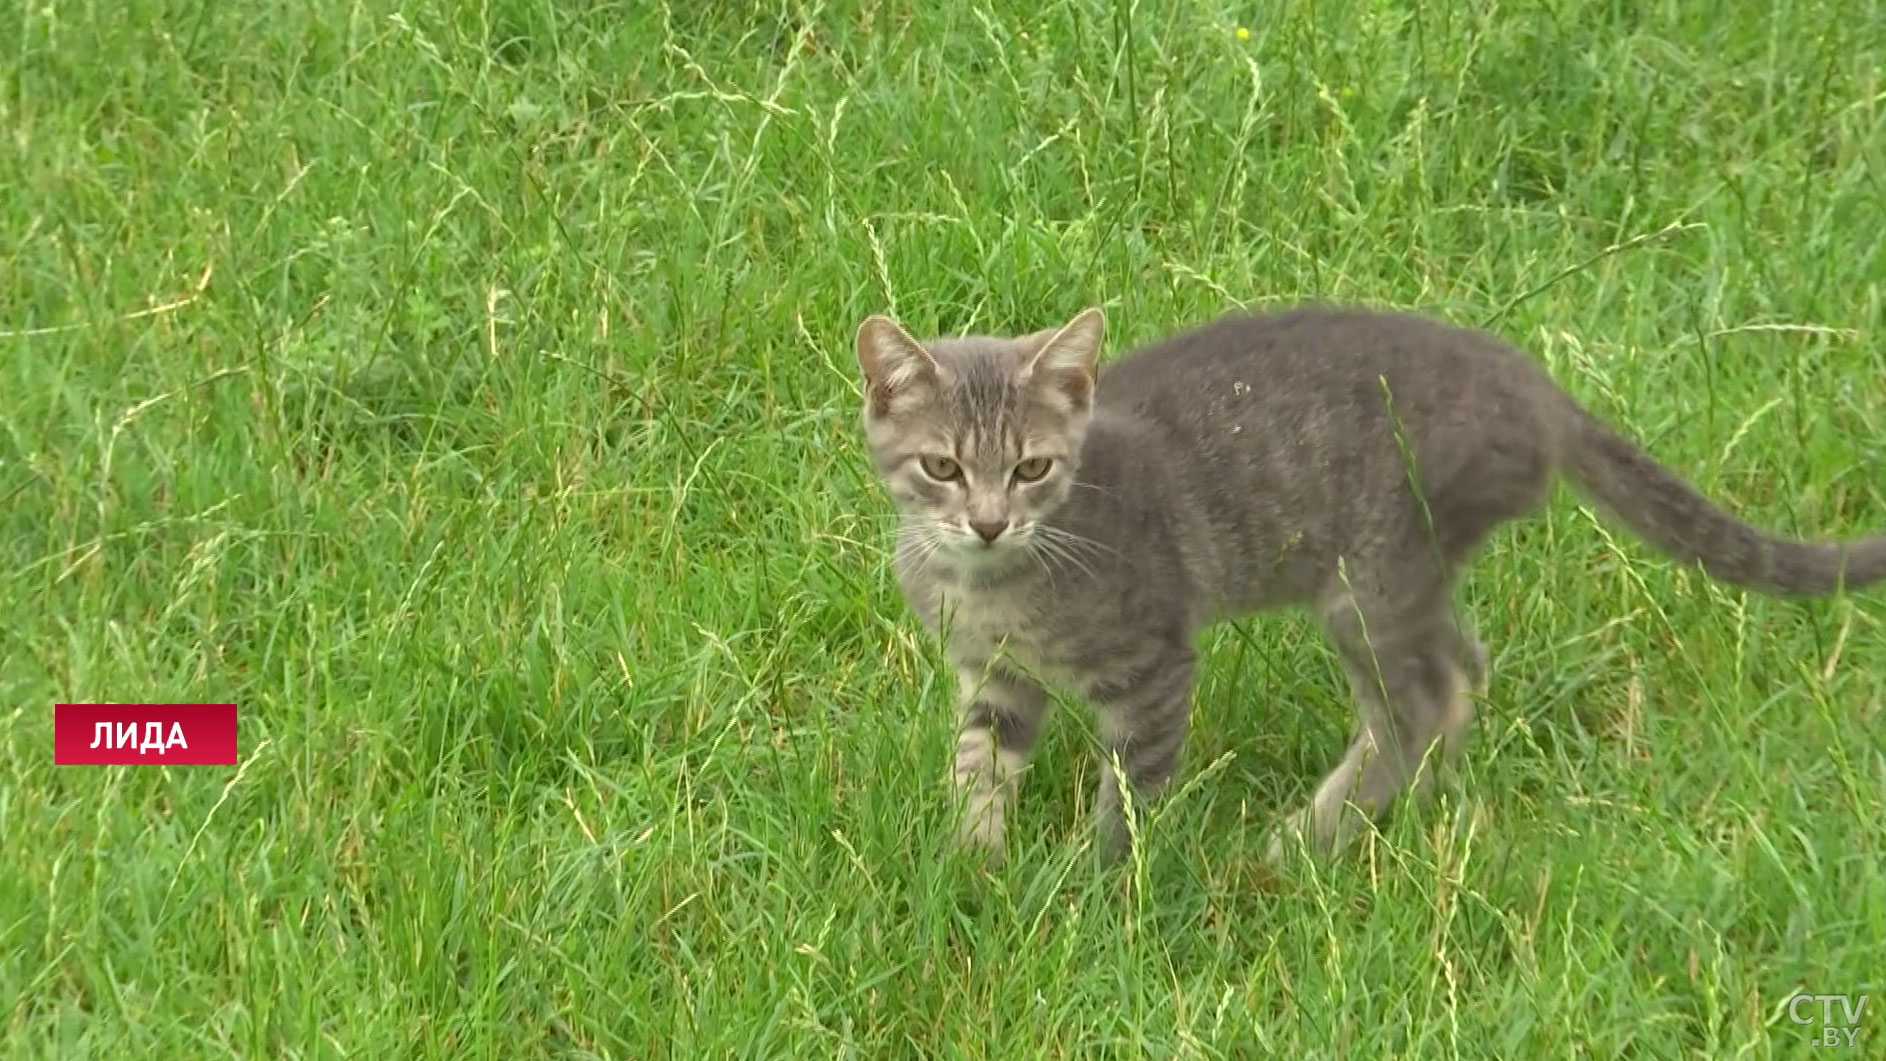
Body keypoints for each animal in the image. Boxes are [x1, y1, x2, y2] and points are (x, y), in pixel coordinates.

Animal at [856, 303, 1886, 866]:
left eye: (1031, 468)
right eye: (944, 468)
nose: (990, 518)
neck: (990, 580)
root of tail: (1531, 386)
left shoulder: (1153, 667)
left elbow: (1132, 791)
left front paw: (1092, 884)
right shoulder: (995, 675)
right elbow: (979, 763)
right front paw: (974, 862)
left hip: (1372, 581)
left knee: (1422, 701)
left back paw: (1304, 840)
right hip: (1406, 584)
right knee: (1464, 668)